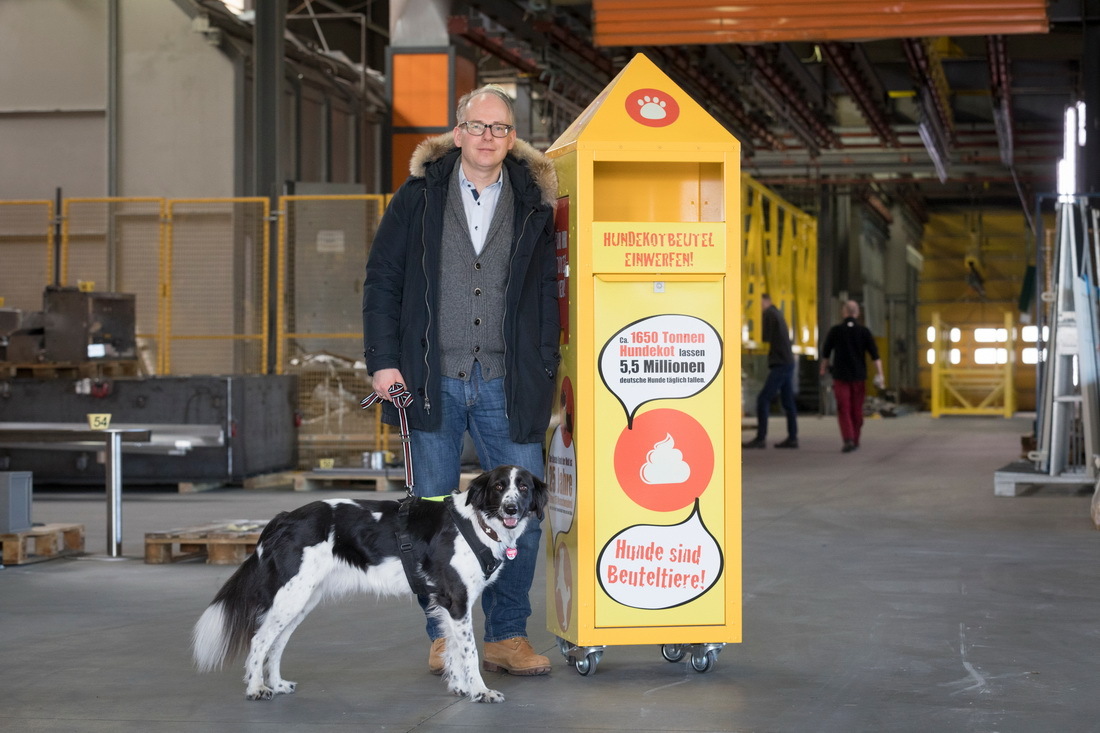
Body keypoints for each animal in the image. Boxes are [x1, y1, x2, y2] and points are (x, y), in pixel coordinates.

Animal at [193, 464, 550, 699]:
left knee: (276, 644)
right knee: (259, 641)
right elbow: (469, 652)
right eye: (499, 487)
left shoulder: (448, 606)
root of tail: (284, 518)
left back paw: (277, 684)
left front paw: (461, 687)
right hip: (290, 598)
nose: (511, 508)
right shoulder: (456, 600)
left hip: (302, 600)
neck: (478, 523)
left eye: (524, 488)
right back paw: (256, 687)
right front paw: (480, 690)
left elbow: (453, 651)